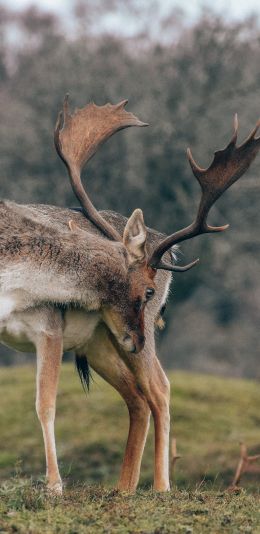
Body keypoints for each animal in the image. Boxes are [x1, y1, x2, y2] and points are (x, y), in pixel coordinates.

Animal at [0, 94, 260, 496]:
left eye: (148, 292)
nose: (135, 339)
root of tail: (167, 250)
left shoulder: (49, 329)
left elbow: (46, 404)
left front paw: (55, 487)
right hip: (100, 343)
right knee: (137, 398)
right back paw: (124, 488)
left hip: (127, 340)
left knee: (160, 389)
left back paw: (161, 488)